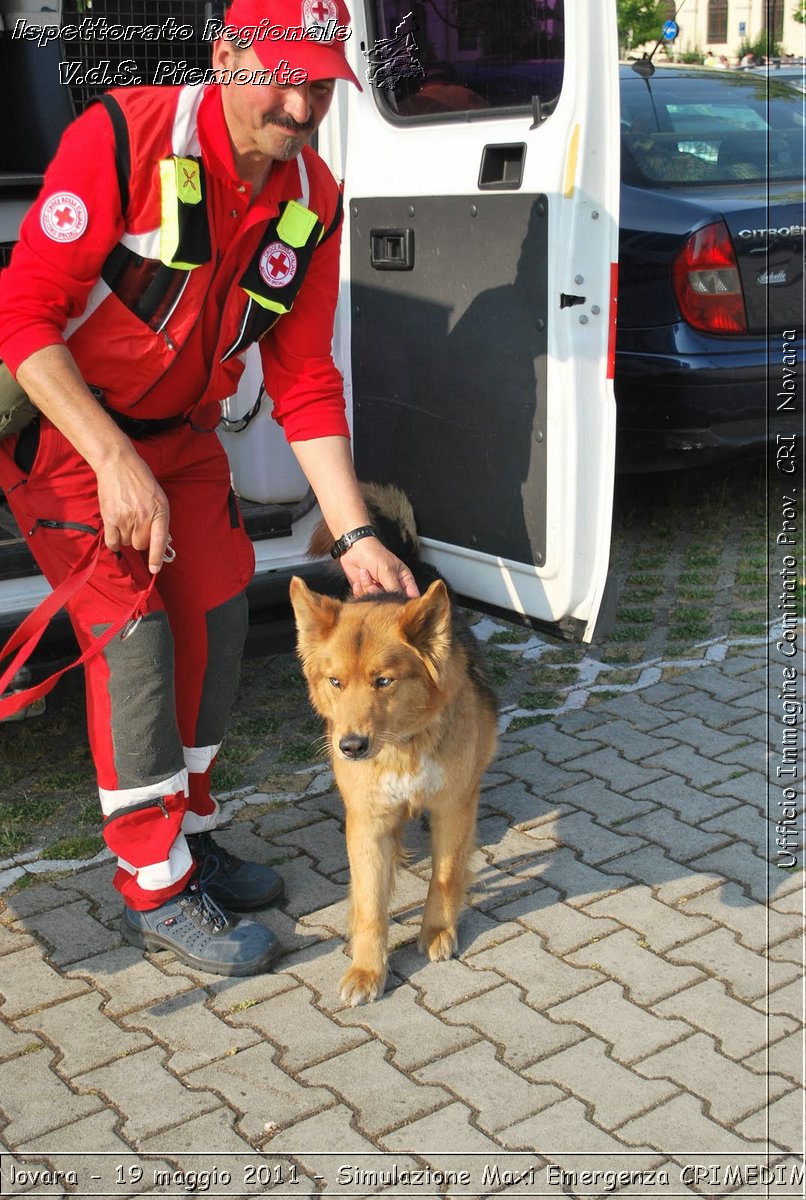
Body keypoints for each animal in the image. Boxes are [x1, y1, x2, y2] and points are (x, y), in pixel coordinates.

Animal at [290, 568, 496, 1003]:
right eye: (335, 681)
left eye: (383, 681)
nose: (350, 747)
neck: (402, 747)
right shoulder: (368, 823)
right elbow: (371, 904)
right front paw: (368, 970)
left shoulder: (453, 807)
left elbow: (445, 876)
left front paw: (437, 930)